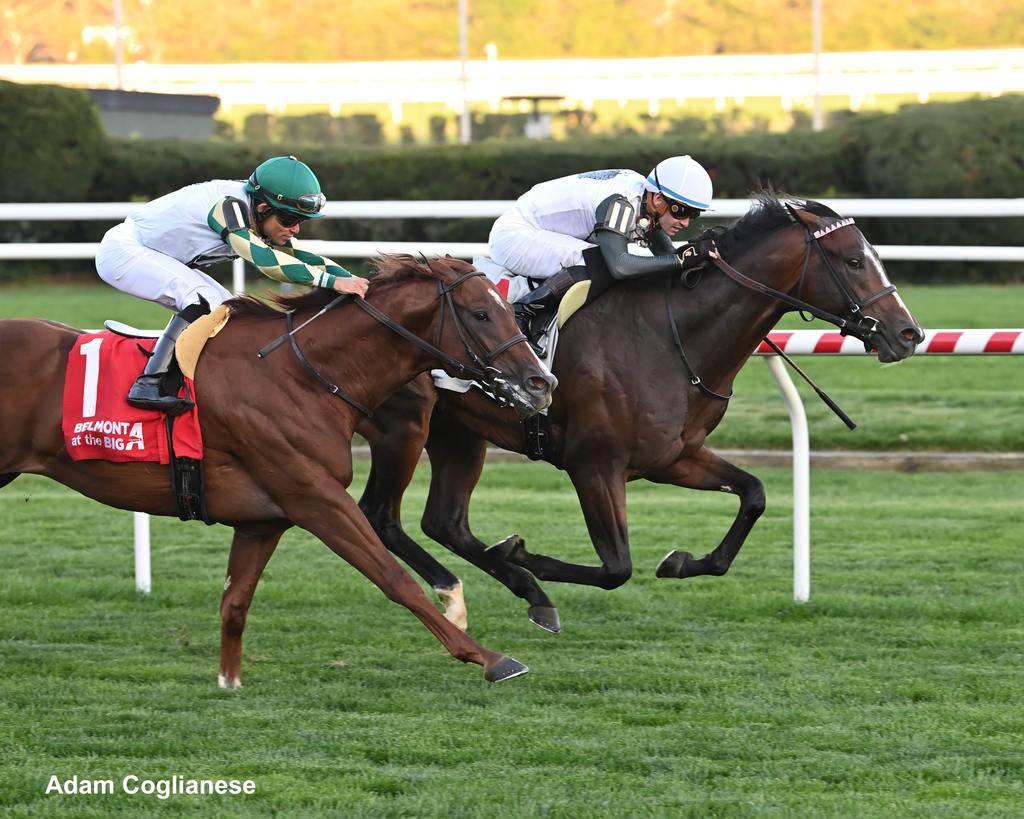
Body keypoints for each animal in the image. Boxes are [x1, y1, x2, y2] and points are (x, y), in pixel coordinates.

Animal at [0, 253, 557, 683]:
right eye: (481, 313)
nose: (541, 382)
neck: (302, 372)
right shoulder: (314, 497)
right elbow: (393, 577)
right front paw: (489, 657)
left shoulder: (262, 519)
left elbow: (235, 602)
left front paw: (229, 681)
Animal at [360, 195, 929, 630]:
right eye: (853, 261)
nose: (908, 334)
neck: (670, 338)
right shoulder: (594, 465)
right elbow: (616, 567)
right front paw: (519, 553)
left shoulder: (672, 457)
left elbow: (754, 495)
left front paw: (682, 562)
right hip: (404, 427)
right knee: (380, 514)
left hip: (458, 433)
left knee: (444, 521)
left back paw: (526, 591)